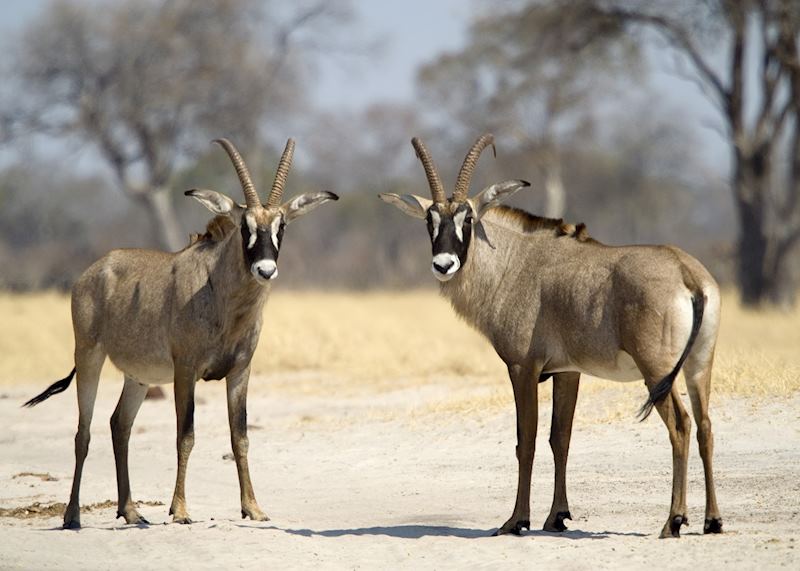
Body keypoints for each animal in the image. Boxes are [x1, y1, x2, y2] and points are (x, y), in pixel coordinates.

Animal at [23, 138, 338, 528]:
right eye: (245, 225)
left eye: (281, 226)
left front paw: (253, 507)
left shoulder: (240, 371)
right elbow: (185, 435)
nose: (265, 270)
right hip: (89, 357)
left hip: (138, 378)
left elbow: (240, 437)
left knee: (119, 425)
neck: (220, 295)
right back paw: (72, 516)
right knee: (84, 431)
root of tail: (92, 272)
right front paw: (181, 510)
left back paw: (130, 511)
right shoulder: (185, 370)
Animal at [379, 134, 722, 538]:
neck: (514, 262)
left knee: (681, 426)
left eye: (468, 217)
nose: (444, 264)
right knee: (705, 426)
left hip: (656, 371)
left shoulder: (522, 367)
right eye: (430, 219)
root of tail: (687, 272)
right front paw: (556, 516)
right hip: (699, 366)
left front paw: (516, 520)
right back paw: (712, 520)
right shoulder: (567, 371)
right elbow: (561, 438)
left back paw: (674, 521)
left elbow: (525, 440)